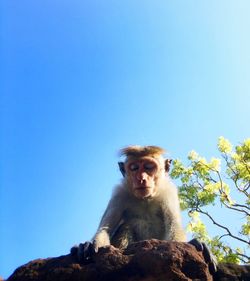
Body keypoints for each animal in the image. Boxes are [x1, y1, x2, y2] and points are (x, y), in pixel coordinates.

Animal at [71, 145, 217, 272]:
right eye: (134, 168)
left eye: (149, 167)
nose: (141, 178)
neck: (146, 199)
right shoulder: (119, 193)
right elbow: (106, 229)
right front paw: (87, 245)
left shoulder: (168, 192)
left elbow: (173, 226)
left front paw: (193, 244)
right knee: (126, 227)